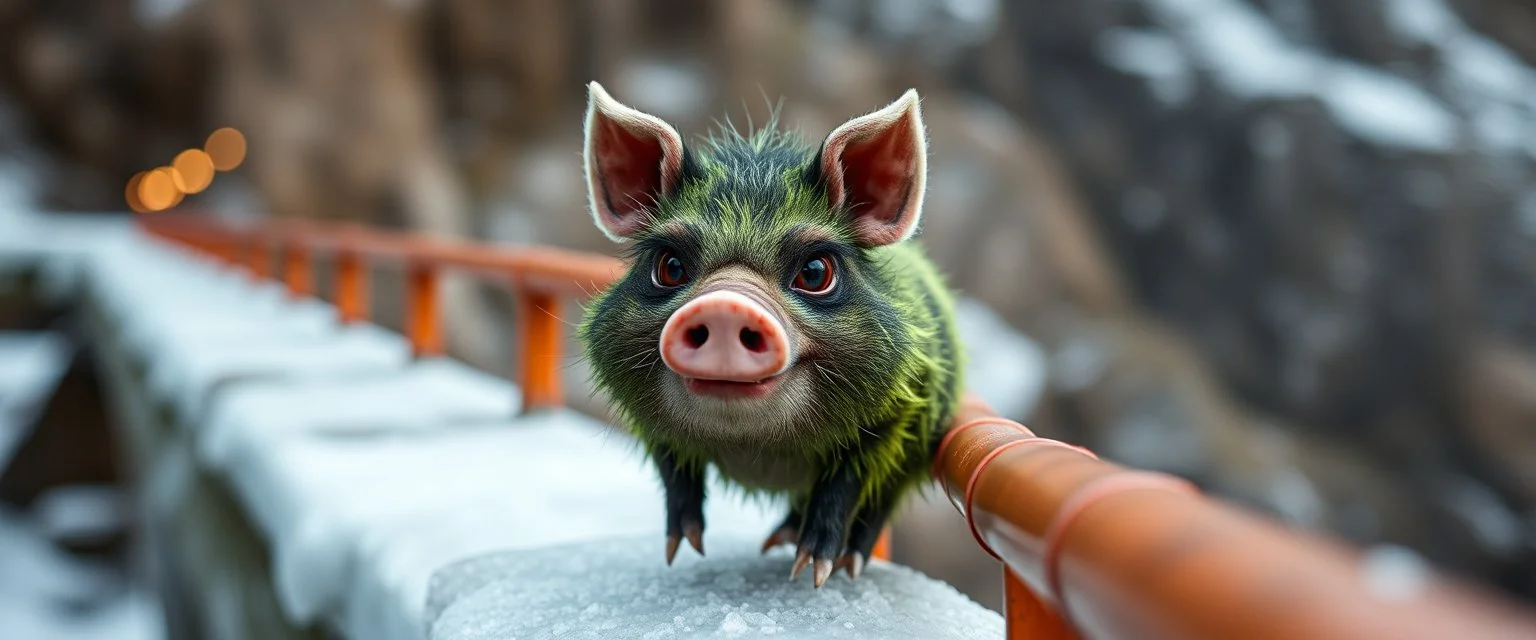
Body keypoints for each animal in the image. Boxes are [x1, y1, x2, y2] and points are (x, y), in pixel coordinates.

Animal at [577, 81, 962, 588]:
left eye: (816, 272)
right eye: (670, 266)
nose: (726, 306)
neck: (758, 452)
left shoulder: (904, 412)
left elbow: (846, 484)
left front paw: (815, 572)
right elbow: (674, 469)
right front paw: (684, 550)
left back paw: (835, 560)